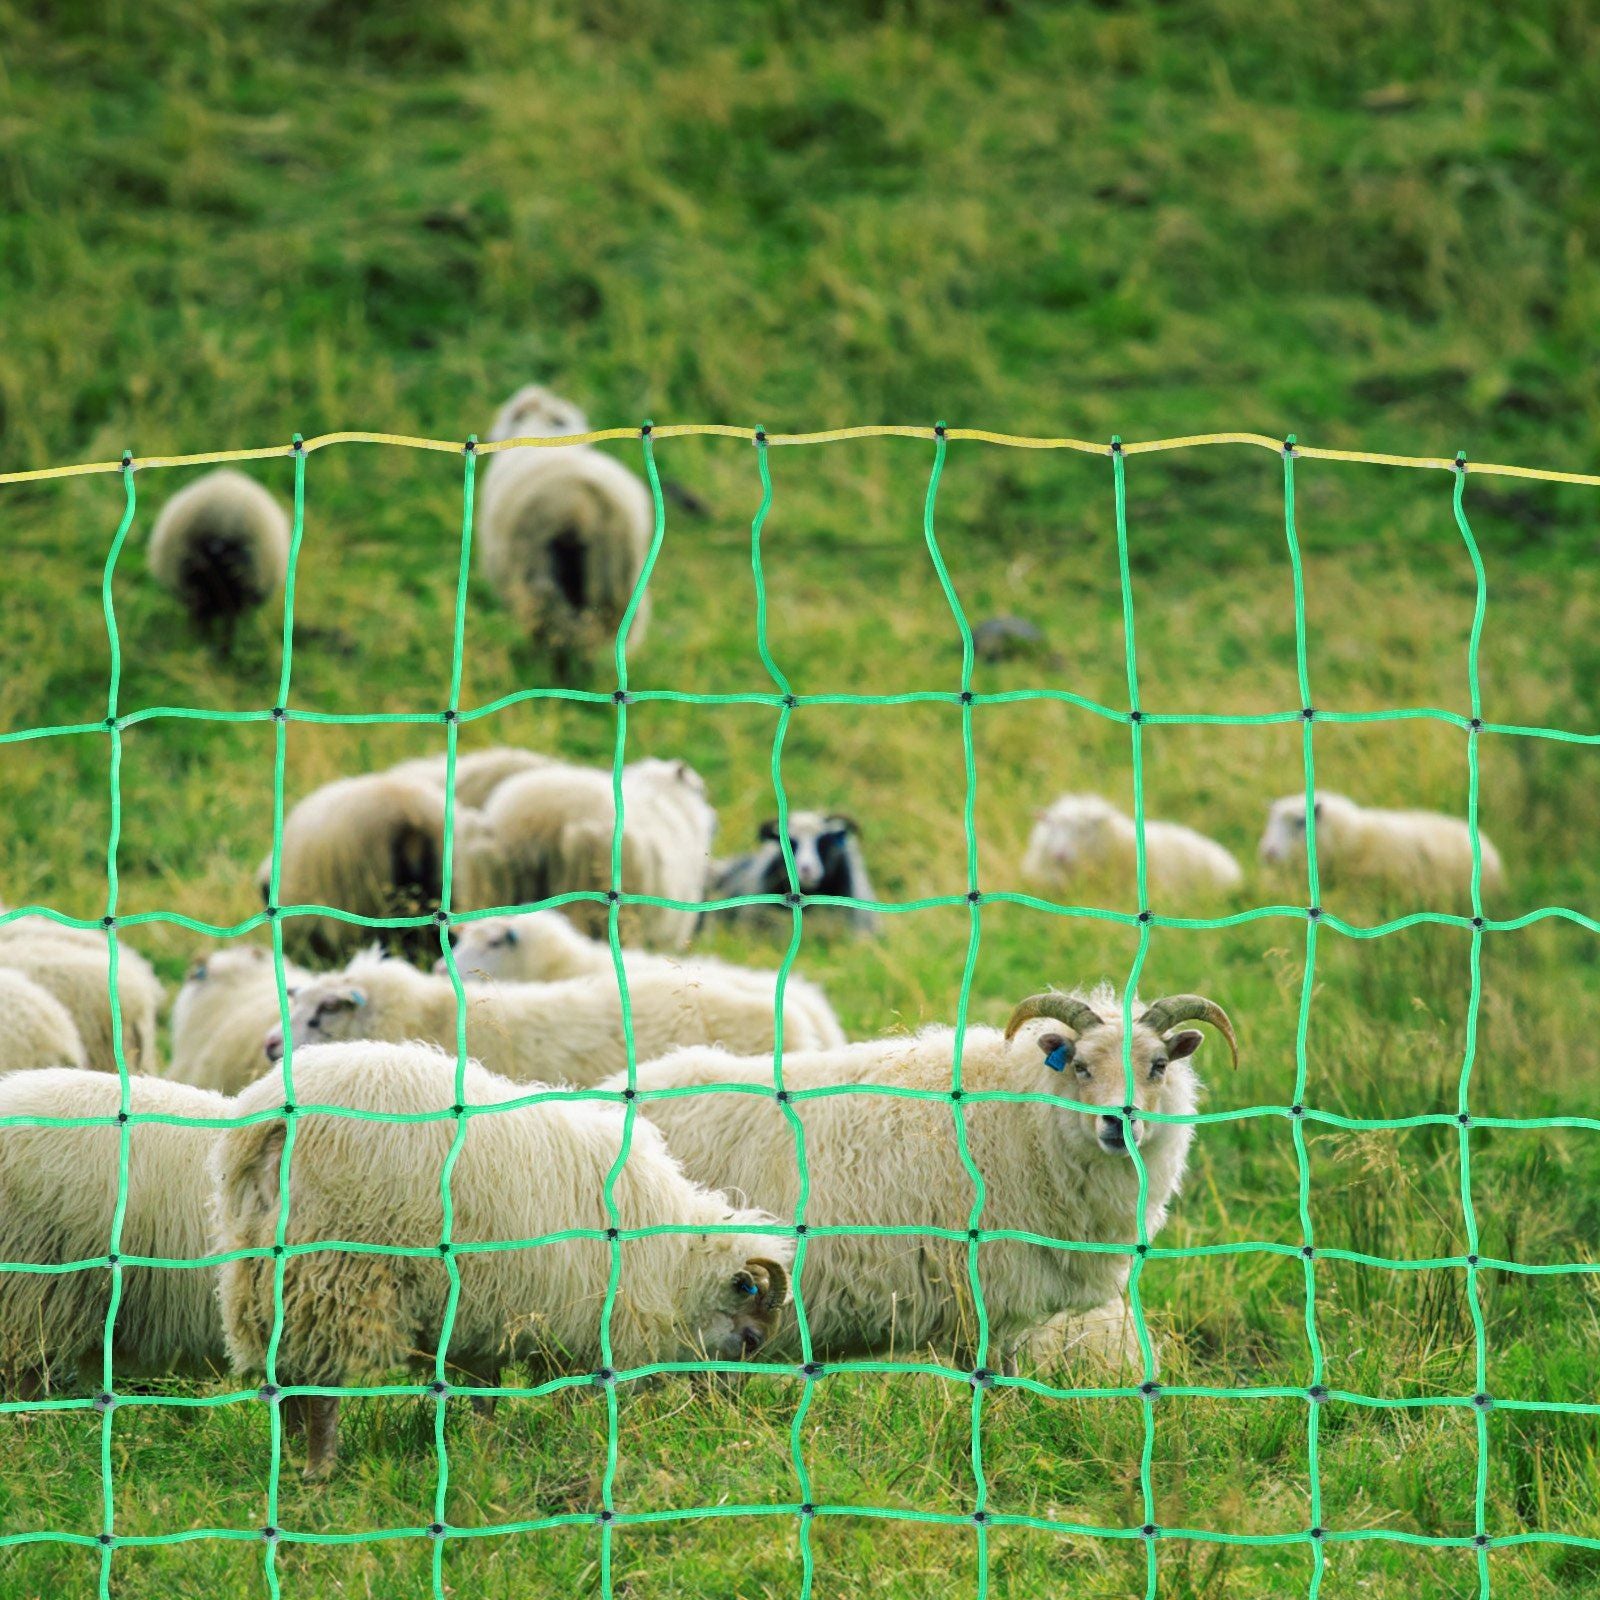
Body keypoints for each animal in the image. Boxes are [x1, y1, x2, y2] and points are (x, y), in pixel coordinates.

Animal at [213, 1040, 794, 1478]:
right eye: (751, 1340)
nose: (725, 1414)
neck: (671, 1263)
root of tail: (269, 1123)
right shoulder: (562, 1314)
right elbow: (552, 1394)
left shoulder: (484, 1313)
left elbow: (484, 1392)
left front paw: (483, 1449)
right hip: (338, 1266)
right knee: (320, 1384)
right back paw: (320, 1467)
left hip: (261, 1270)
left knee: (286, 1369)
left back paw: (289, 1453)